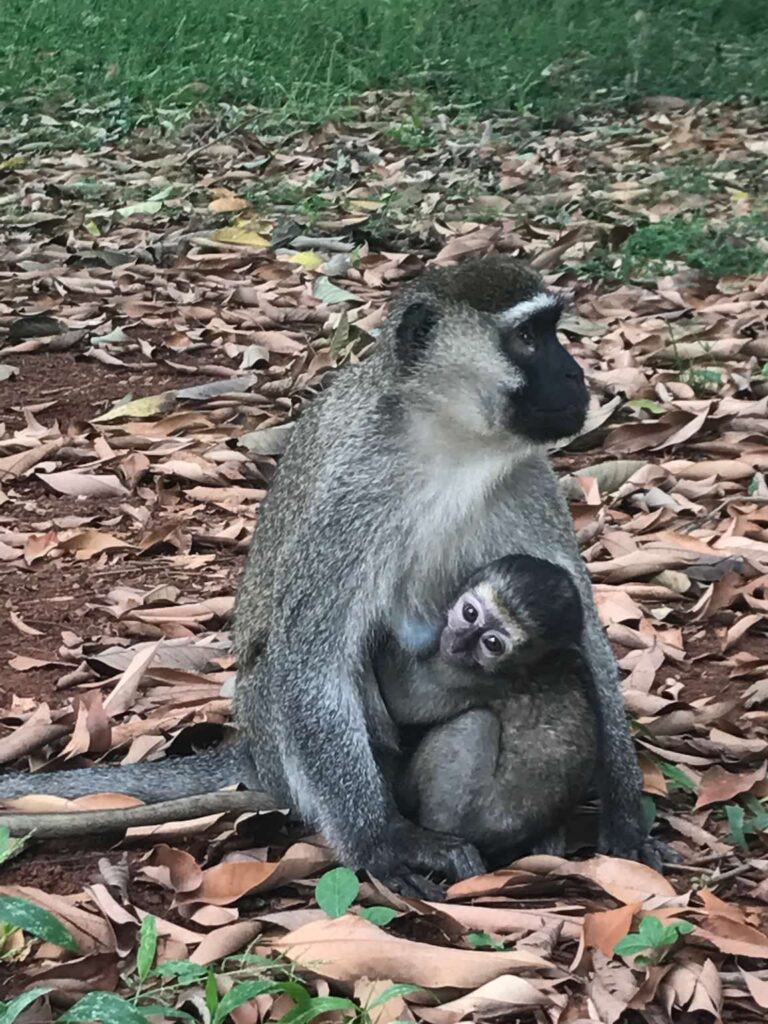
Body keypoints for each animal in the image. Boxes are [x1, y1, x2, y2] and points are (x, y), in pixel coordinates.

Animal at [382, 552, 598, 864]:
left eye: (492, 643)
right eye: (470, 613)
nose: (458, 643)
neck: (535, 665)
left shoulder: (466, 676)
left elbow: (401, 699)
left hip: (449, 814)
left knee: (476, 722)